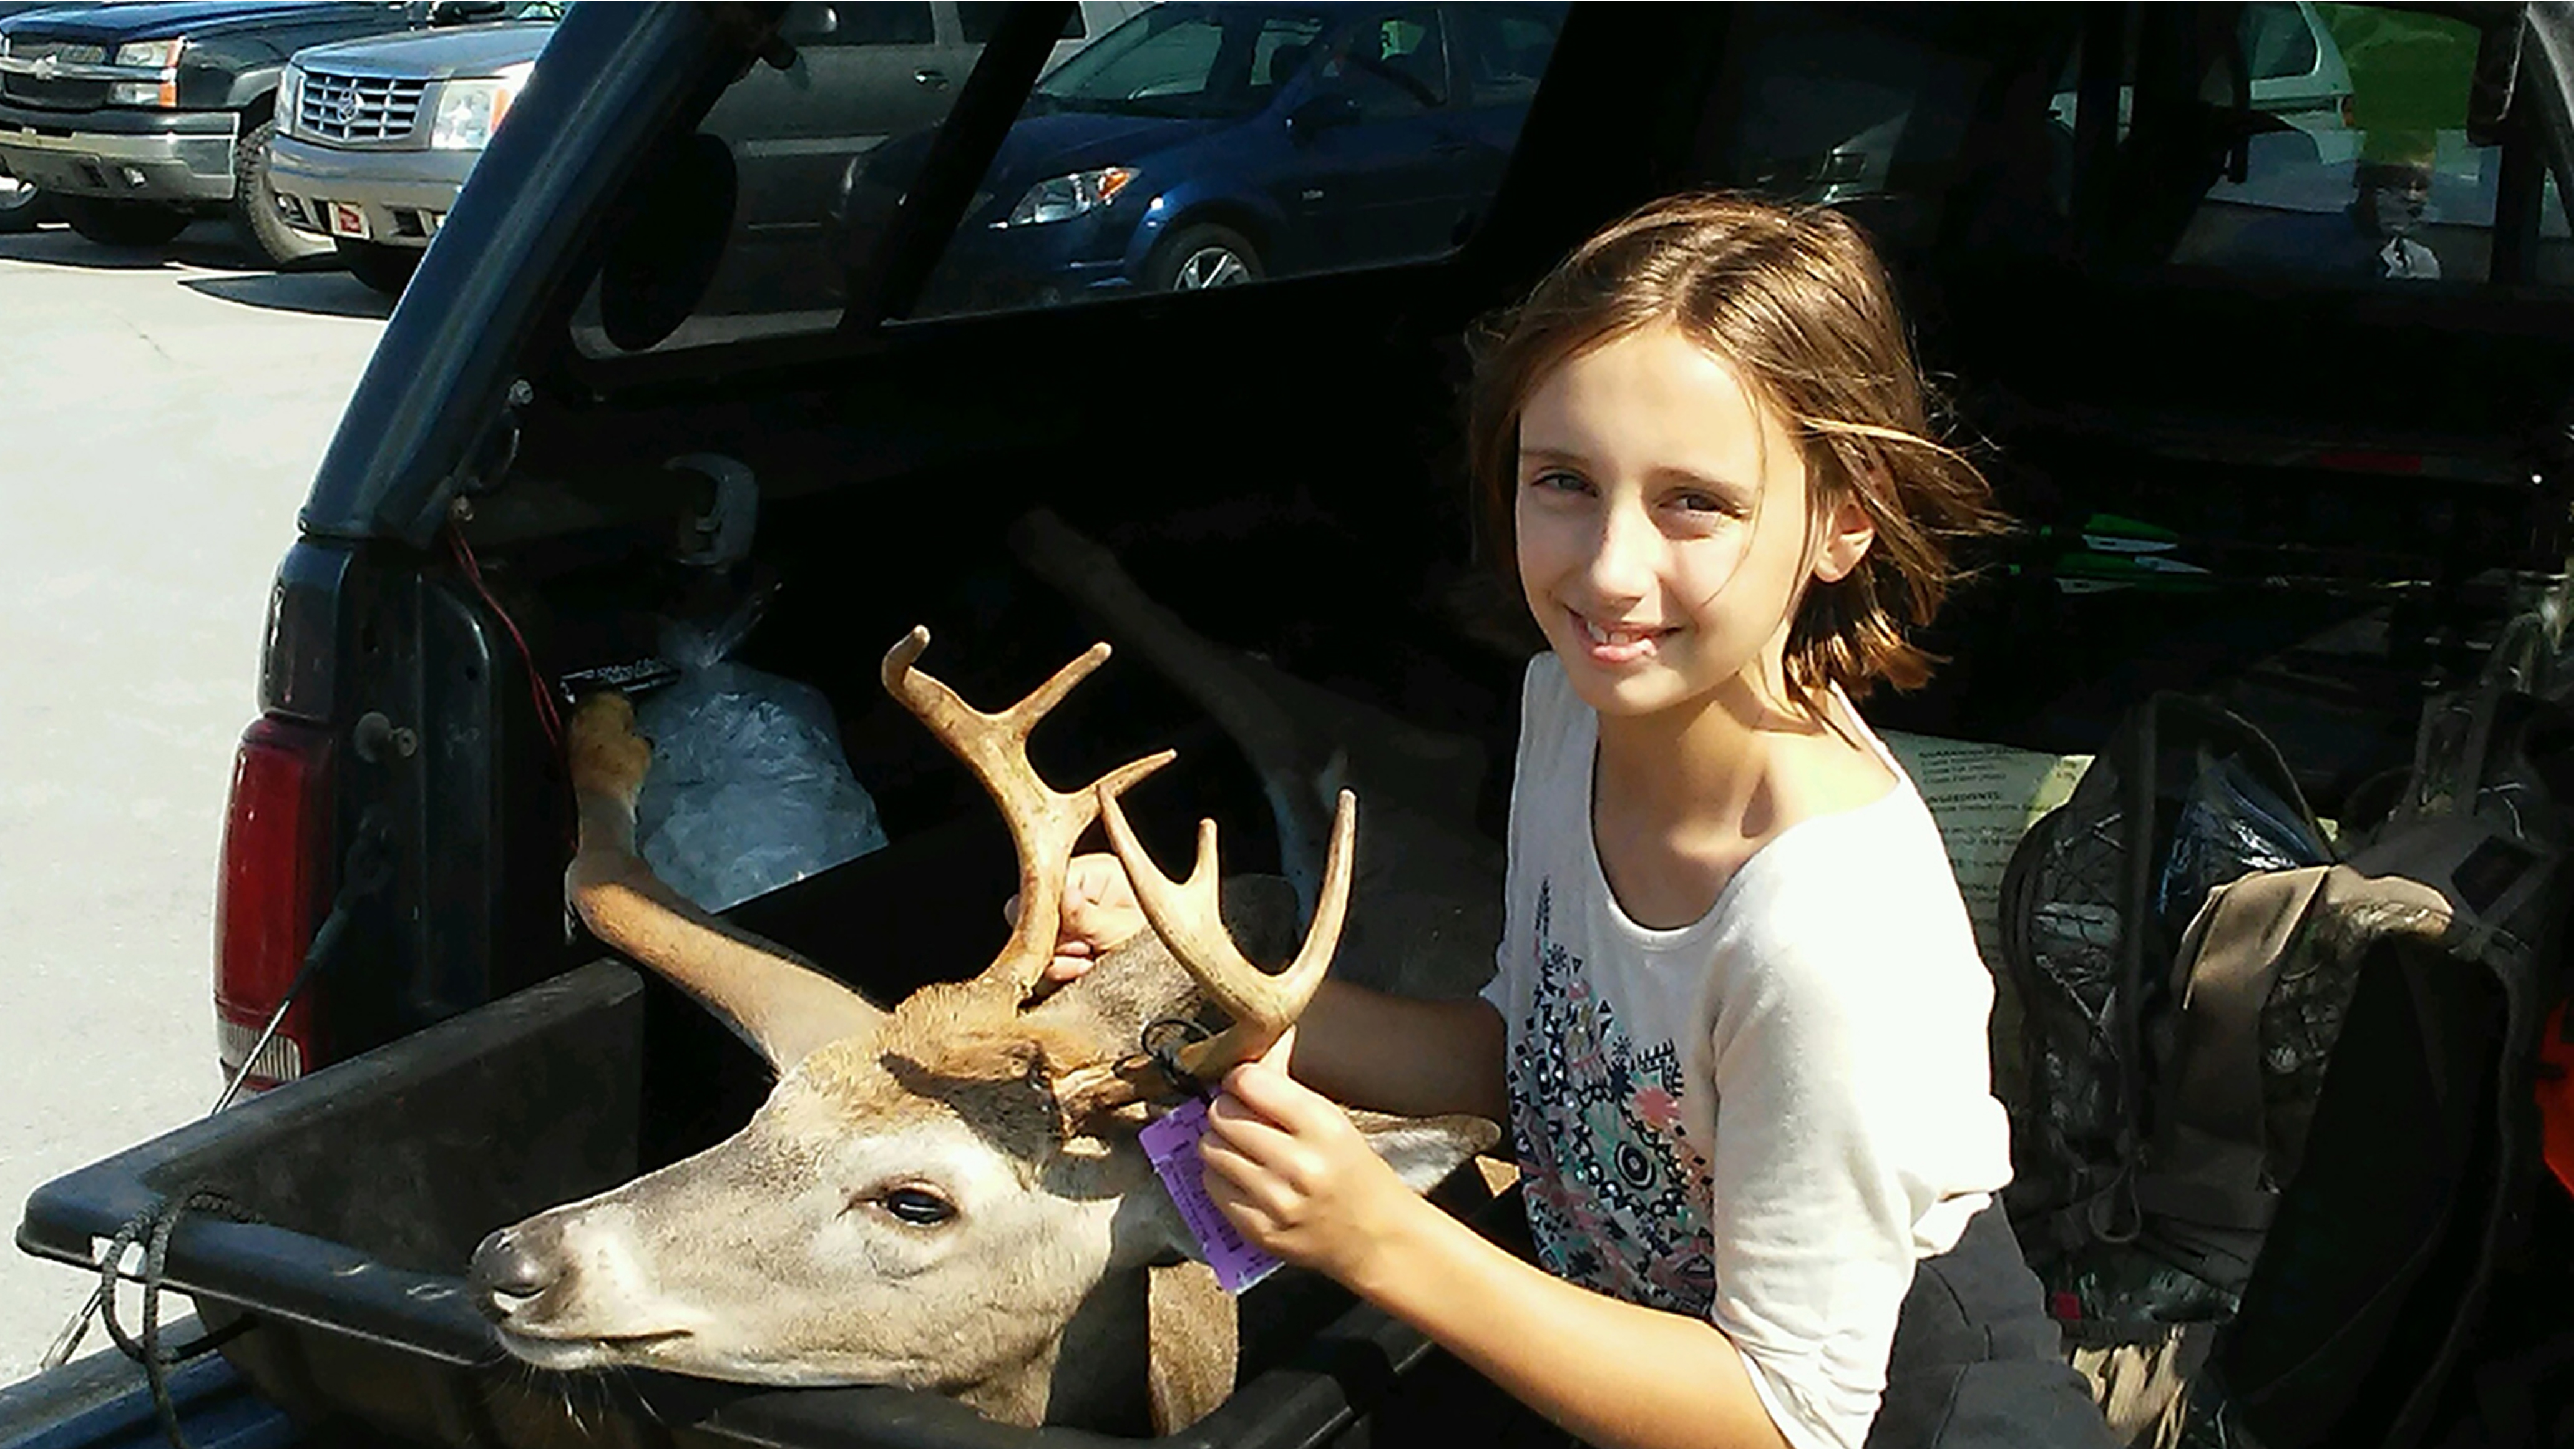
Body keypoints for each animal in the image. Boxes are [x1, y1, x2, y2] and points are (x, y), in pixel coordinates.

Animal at [466, 627, 1499, 1433]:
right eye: (765, 1113)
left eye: (916, 1202)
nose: (511, 1261)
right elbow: (607, 885)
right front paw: (605, 730)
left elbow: (605, 884)